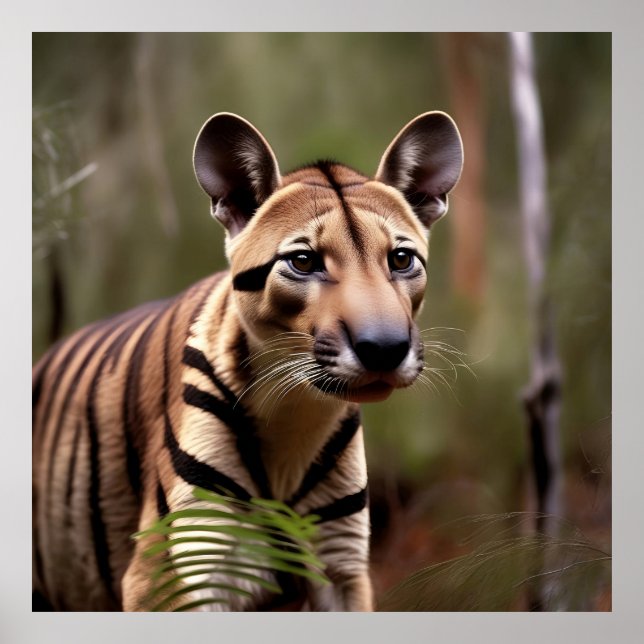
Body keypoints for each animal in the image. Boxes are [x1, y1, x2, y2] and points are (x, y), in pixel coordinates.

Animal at [32, 111, 463, 611]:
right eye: (303, 261)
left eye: (400, 259)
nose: (385, 347)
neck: (295, 416)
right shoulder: (173, 571)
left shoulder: (341, 564)